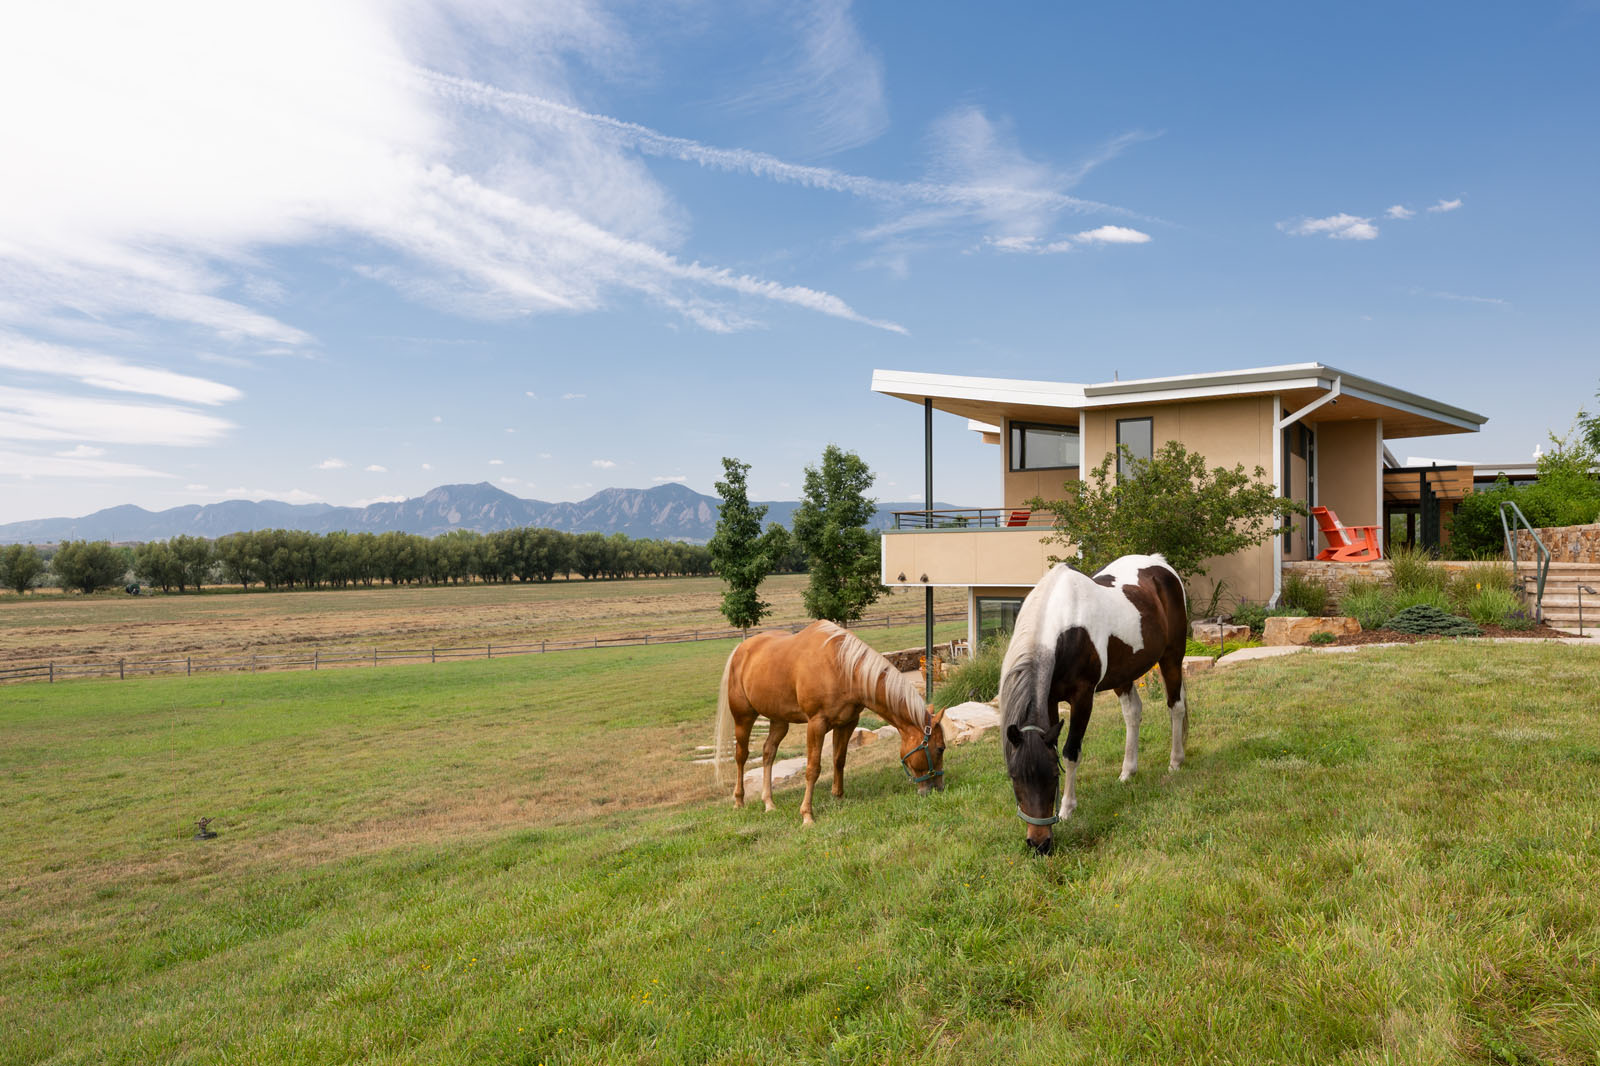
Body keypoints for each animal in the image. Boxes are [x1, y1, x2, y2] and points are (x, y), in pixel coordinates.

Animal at [713, 620, 947, 826]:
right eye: (940, 748)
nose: (939, 788)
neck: (842, 667)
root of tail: (741, 649)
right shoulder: (816, 724)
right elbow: (813, 768)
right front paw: (807, 815)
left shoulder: (847, 723)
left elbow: (839, 760)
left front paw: (838, 797)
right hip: (743, 718)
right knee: (741, 756)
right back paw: (739, 800)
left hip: (779, 721)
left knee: (768, 752)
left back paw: (769, 803)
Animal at [999, 553, 1190, 855]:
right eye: (1014, 777)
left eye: (1053, 777)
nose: (1039, 845)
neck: (1063, 628)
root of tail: (1159, 562)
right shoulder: (1050, 698)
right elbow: (1057, 745)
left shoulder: (1083, 697)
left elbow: (1070, 751)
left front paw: (1067, 809)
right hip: (1123, 674)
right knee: (1133, 713)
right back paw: (1127, 772)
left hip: (1172, 656)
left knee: (1176, 706)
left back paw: (1175, 761)